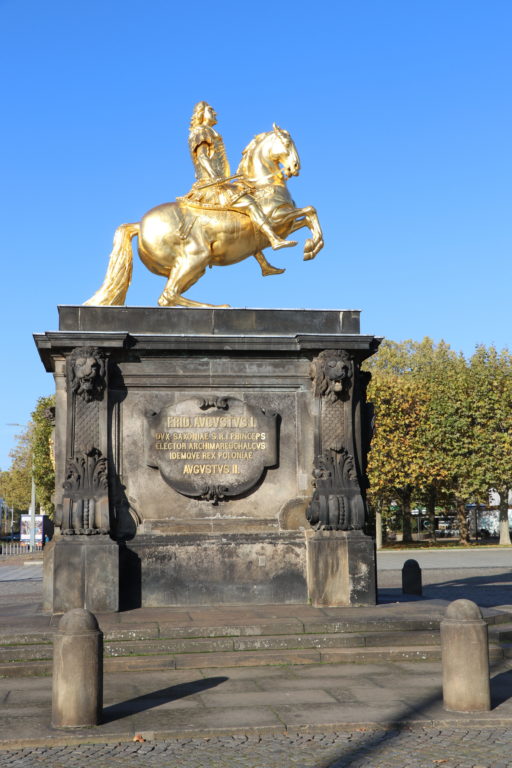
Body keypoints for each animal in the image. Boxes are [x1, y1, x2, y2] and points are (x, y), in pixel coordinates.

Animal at [84, 124, 324, 308]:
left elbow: (307, 218)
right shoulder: (275, 219)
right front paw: (305, 246)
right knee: (168, 295)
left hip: (191, 267)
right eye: (287, 143)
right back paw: (218, 307)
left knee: (168, 297)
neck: (263, 185)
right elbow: (310, 210)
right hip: (194, 258)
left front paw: (310, 247)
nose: (295, 167)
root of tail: (139, 225)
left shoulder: (286, 224)